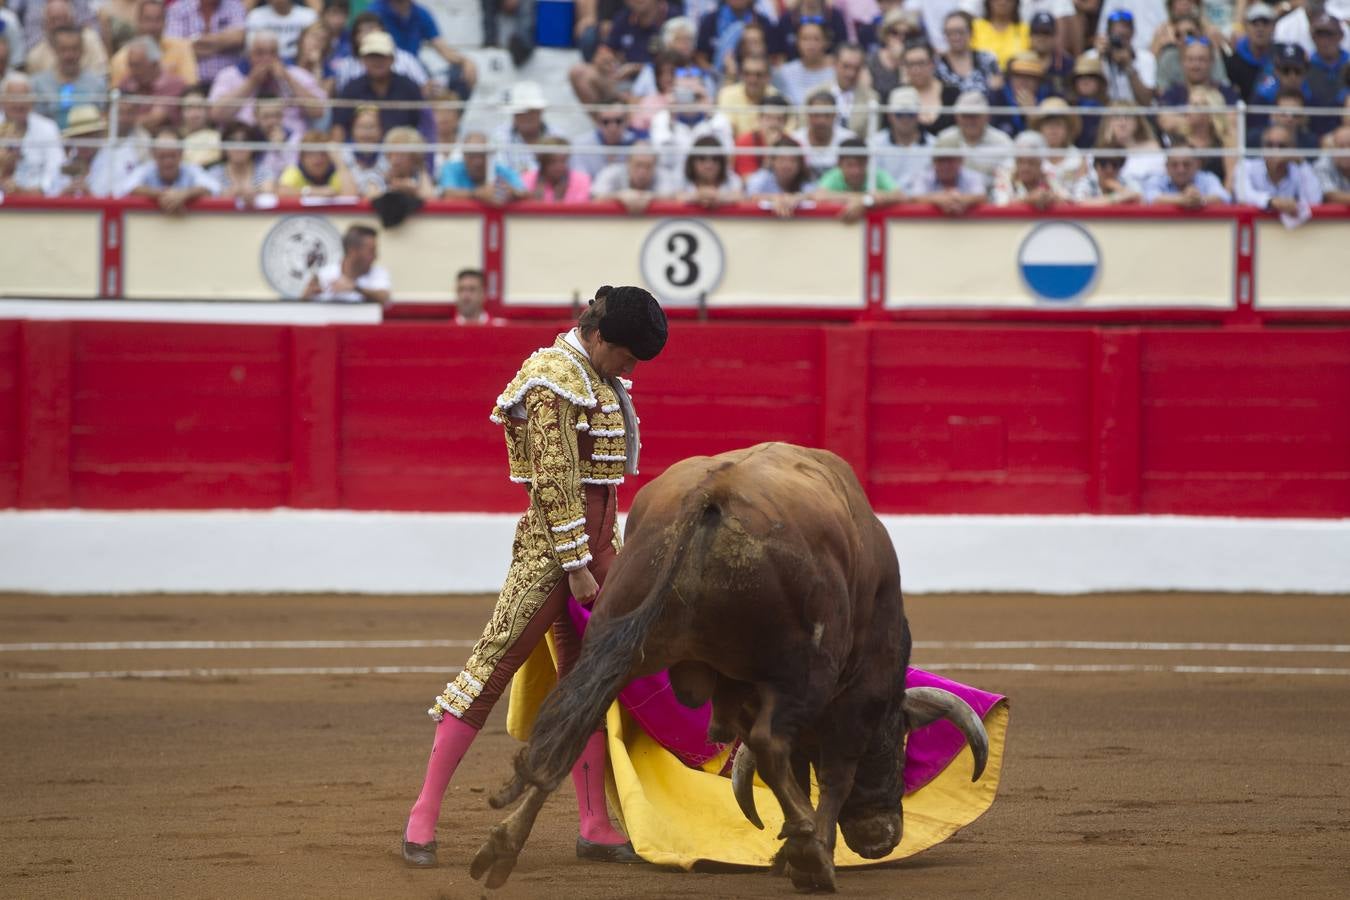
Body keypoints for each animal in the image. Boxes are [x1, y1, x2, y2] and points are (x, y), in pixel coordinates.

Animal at [469, 439, 988, 890]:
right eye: (900, 740)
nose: (879, 838)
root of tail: (709, 496)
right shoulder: (858, 694)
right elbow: (830, 773)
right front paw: (808, 850)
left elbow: (798, 769)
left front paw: (790, 852)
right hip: (802, 670)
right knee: (769, 743)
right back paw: (813, 856)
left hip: (616, 642)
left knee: (574, 727)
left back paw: (500, 848)